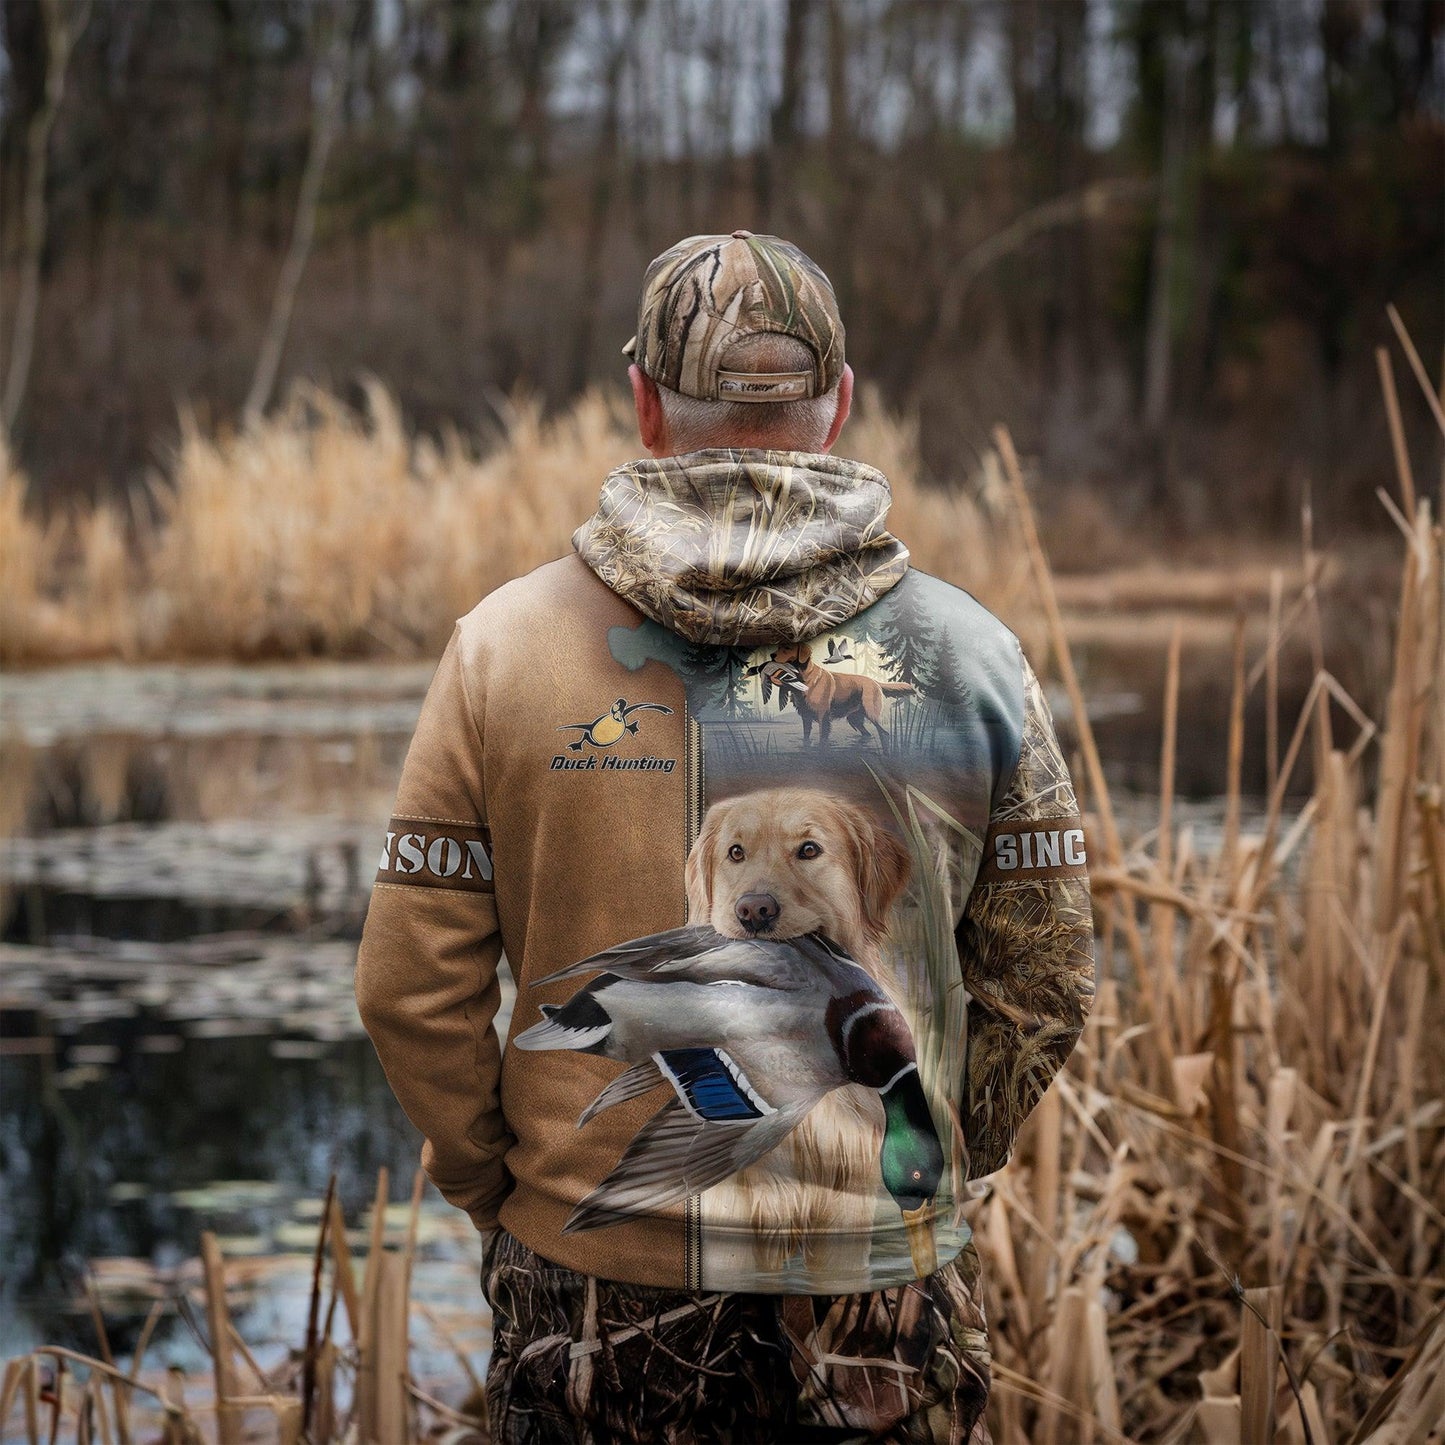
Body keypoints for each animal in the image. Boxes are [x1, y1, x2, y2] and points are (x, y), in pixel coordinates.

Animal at [774, 641, 907, 745]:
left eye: (788, 648)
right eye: (778, 647)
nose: (772, 654)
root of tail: (875, 682)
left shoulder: (823, 716)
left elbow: (822, 738)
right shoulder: (806, 716)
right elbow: (806, 738)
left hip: (871, 713)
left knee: (884, 733)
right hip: (854, 718)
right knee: (867, 733)